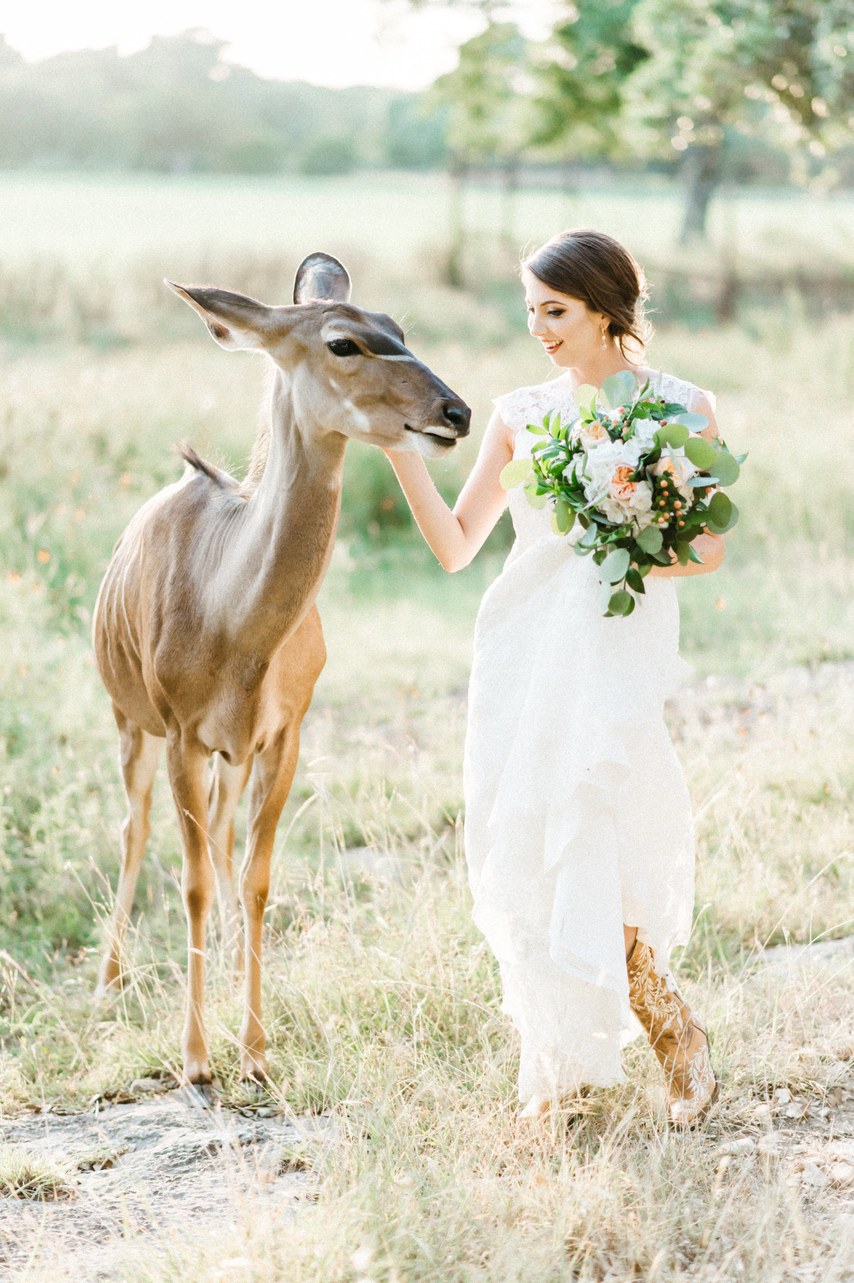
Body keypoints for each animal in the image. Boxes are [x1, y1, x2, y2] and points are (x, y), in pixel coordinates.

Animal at [92, 252, 469, 1093]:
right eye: (343, 342)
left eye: (398, 327)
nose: (455, 411)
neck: (235, 621)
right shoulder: (182, 736)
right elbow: (194, 879)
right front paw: (198, 1059)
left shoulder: (283, 735)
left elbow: (255, 877)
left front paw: (257, 1050)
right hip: (131, 726)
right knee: (135, 830)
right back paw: (107, 984)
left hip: (228, 759)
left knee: (223, 840)